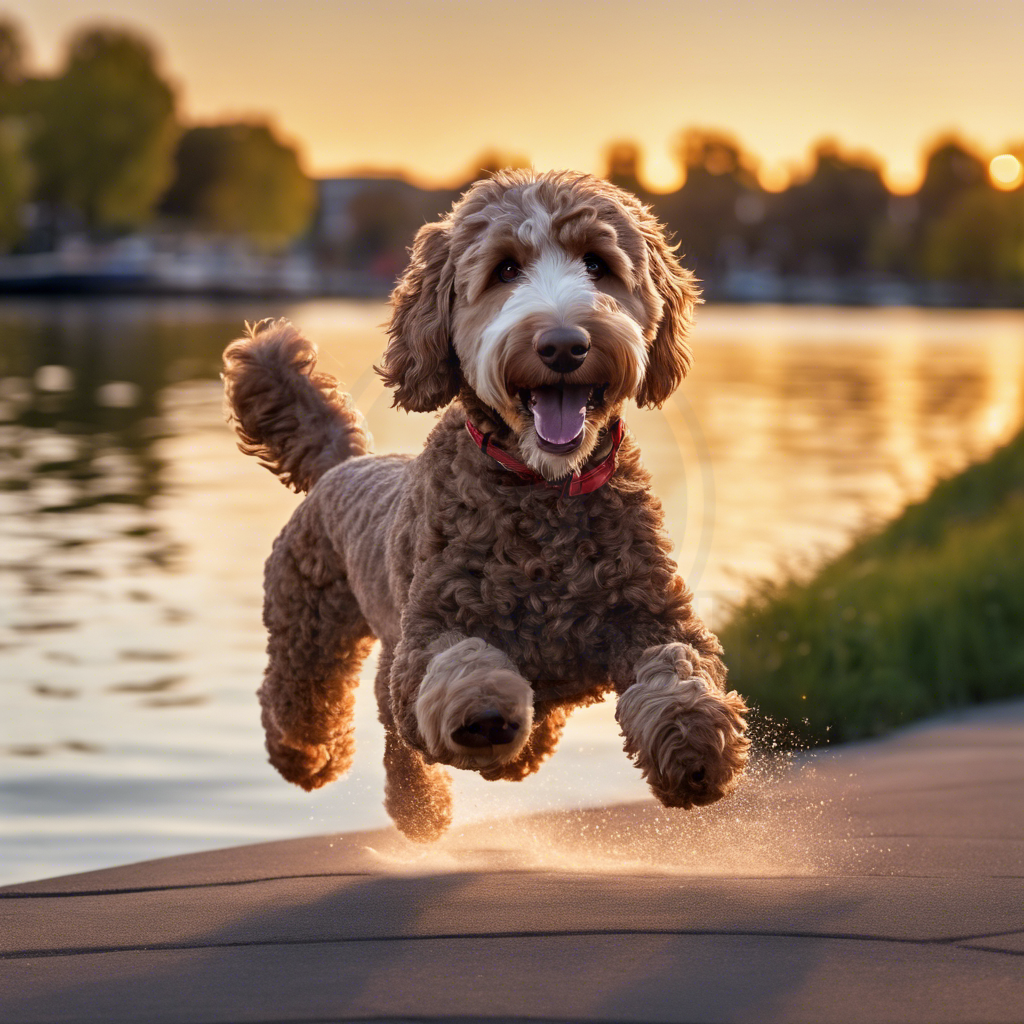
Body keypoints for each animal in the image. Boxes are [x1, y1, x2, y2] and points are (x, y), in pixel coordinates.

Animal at [224, 167, 749, 839]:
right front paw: (482, 711)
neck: (544, 493)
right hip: (309, 624)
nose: (563, 345)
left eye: (598, 264)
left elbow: (680, 666)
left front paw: (695, 740)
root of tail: (343, 462)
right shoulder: (426, 640)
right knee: (306, 696)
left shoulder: (653, 617)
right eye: (504, 270)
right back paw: (317, 759)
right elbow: (462, 661)